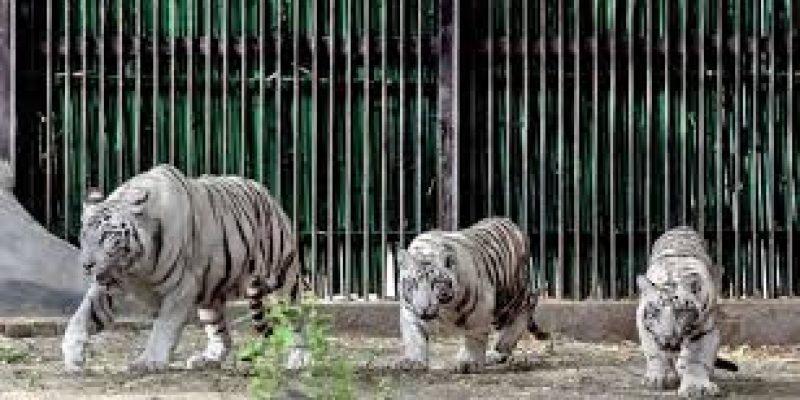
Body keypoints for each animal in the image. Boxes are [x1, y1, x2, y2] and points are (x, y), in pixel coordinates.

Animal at [61, 164, 307, 373]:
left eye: (106, 236)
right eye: (84, 235)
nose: (86, 265)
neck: (134, 266)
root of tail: (265, 192)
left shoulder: (181, 286)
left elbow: (163, 326)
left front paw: (149, 361)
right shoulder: (110, 283)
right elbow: (82, 315)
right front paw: (72, 355)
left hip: (283, 278)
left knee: (296, 319)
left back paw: (300, 358)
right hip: (210, 296)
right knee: (220, 333)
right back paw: (208, 359)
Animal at [395, 217, 548, 373]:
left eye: (436, 283)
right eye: (412, 283)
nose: (424, 308)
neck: (444, 308)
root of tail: (509, 221)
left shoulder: (480, 310)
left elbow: (474, 337)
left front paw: (469, 362)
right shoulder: (410, 310)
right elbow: (414, 337)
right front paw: (413, 361)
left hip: (509, 298)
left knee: (526, 306)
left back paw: (497, 350)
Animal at [637, 226, 737, 398]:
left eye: (680, 311)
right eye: (655, 311)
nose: (668, 339)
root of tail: (682, 227)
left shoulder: (705, 329)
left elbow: (696, 358)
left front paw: (696, 387)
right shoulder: (643, 323)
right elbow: (654, 352)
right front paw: (659, 378)